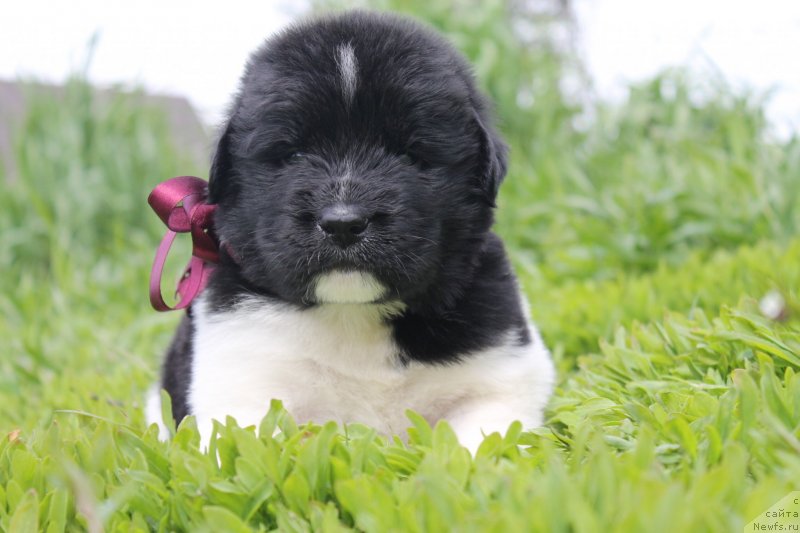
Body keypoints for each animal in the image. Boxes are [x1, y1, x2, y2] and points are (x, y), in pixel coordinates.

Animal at [147, 10, 552, 450]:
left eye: (410, 155)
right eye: (294, 154)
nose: (343, 224)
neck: (353, 313)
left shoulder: (499, 378)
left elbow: (483, 444)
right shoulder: (242, 379)